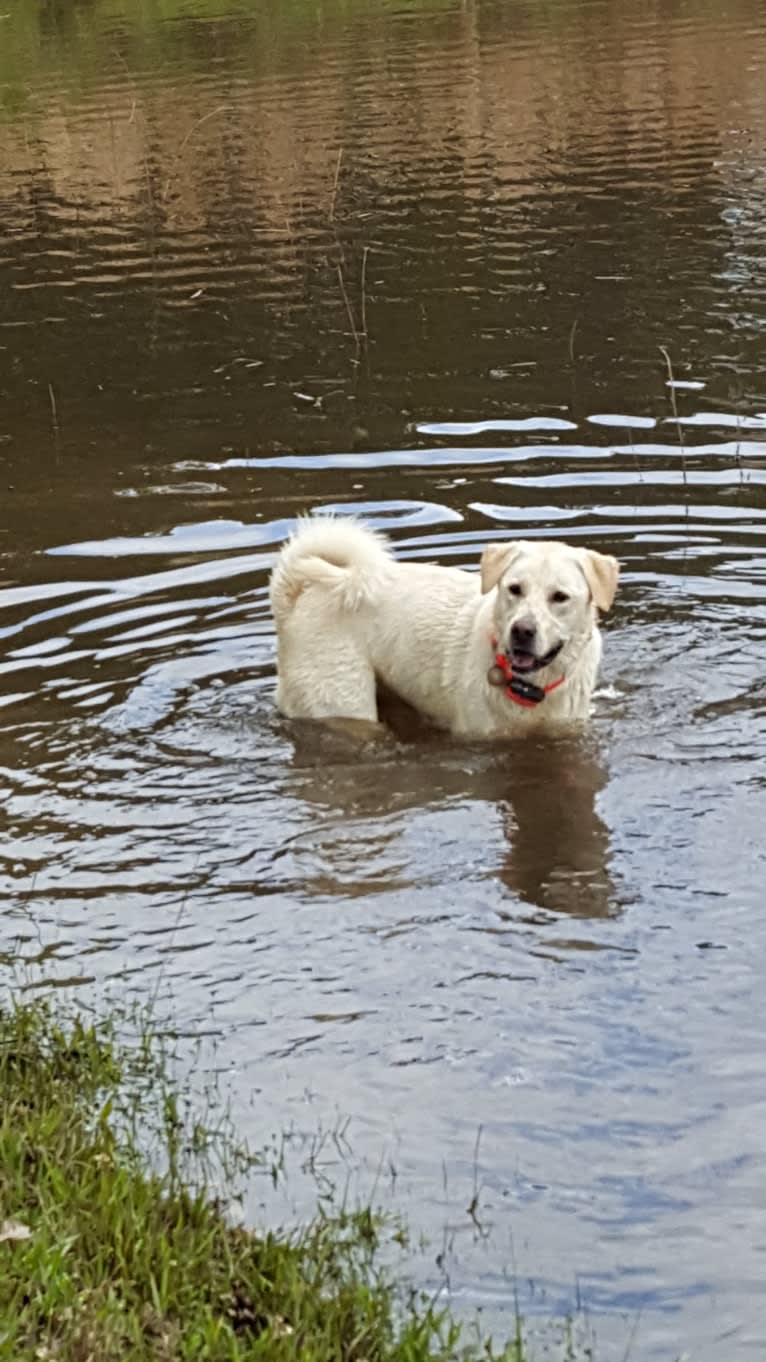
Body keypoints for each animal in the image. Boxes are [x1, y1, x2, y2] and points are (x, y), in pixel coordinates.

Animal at [268, 514, 613, 740]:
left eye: (560, 597)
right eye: (515, 589)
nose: (522, 631)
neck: (531, 687)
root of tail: (296, 600)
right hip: (342, 700)